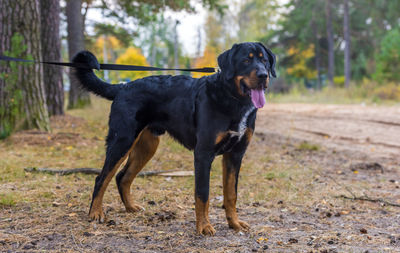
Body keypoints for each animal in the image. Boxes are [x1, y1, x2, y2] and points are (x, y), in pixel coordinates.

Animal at [72, 42, 276, 236]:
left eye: (264, 60)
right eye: (246, 60)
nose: (263, 75)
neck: (233, 100)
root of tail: (123, 86)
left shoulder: (235, 155)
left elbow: (231, 194)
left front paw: (234, 223)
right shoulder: (203, 154)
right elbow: (203, 194)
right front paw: (204, 226)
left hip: (147, 146)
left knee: (123, 177)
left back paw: (130, 207)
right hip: (122, 140)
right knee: (101, 178)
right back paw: (95, 213)